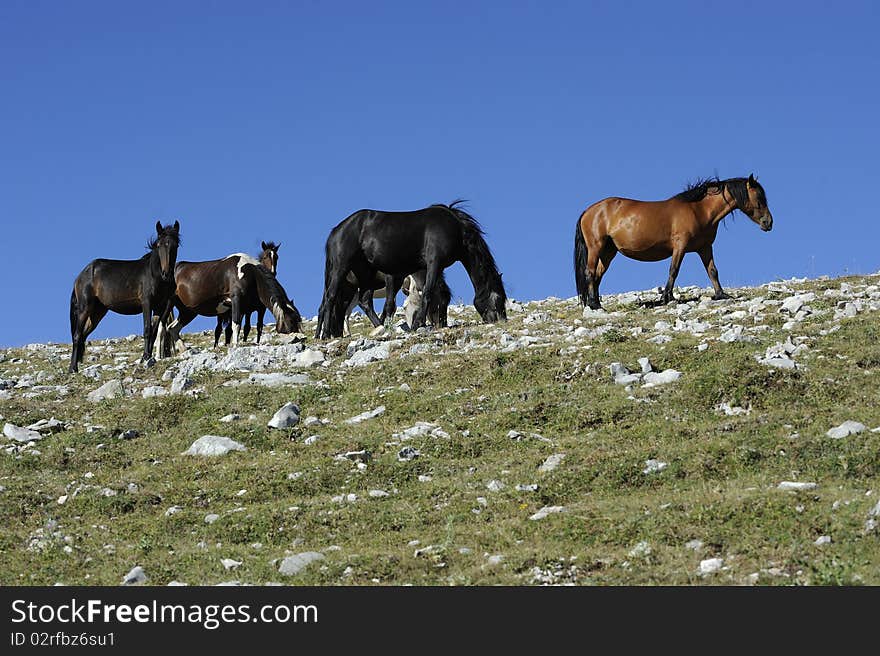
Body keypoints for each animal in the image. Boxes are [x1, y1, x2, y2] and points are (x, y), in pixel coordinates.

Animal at [69, 222, 181, 372]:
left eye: (175, 245)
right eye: (159, 245)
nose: (166, 274)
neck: (154, 274)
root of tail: (80, 276)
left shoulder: (160, 306)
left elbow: (154, 330)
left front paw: (148, 356)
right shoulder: (147, 303)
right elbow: (147, 329)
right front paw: (145, 357)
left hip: (97, 312)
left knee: (82, 335)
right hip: (84, 308)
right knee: (77, 335)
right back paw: (73, 369)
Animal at [162, 251, 302, 354]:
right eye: (291, 321)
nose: (299, 339)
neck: (251, 273)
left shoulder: (249, 308)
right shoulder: (236, 300)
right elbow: (236, 324)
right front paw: (235, 345)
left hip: (188, 311)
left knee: (172, 328)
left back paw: (184, 349)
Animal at [316, 200, 502, 338]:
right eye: (498, 299)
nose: (501, 320)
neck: (454, 227)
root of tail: (336, 231)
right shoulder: (432, 264)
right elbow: (425, 294)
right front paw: (417, 325)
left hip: (363, 276)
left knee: (362, 302)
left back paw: (379, 328)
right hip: (340, 270)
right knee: (330, 299)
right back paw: (325, 335)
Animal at [576, 173, 772, 308]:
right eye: (759, 197)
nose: (768, 223)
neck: (698, 210)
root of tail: (589, 211)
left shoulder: (705, 248)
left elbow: (712, 271)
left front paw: (721, 294)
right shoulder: (680, 246)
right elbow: (673, 270)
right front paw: (667, 297)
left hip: (609, 251)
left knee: (598, 275)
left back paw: (597, 303)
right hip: (596, 247)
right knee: (590, 272)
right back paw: (594, 305)